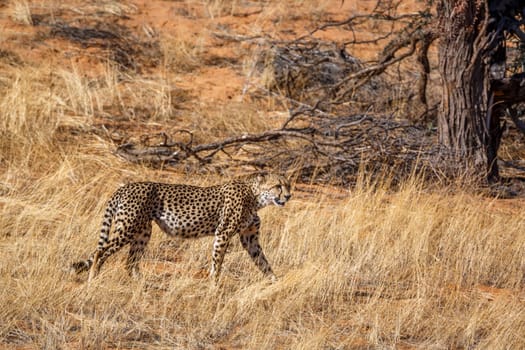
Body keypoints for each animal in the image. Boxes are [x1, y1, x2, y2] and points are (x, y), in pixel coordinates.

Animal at [70, 171, 290, 284]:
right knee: (101, 251)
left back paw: (141, 284)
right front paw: (214, 287)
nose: (288, 196)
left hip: (143, 231)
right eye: (277, 186)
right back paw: (93, 279)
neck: (255, 197)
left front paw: (276, 282)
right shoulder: (223, 233)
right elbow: (217, 262)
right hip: (128, 228)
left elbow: (263, 262)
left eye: (288, 185)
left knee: (129, 261)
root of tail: (126, 186)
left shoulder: (249, 238)